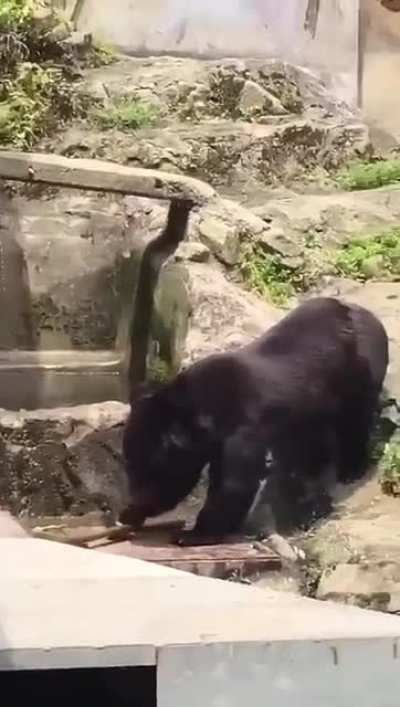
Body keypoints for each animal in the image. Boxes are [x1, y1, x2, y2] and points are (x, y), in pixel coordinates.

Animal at [119, 297, 389, 546]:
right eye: (129, 463)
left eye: (147, 466)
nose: (133, 500)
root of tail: (370, 316)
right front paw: (131, 514)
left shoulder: (244, 427)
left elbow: (233, 483)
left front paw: (190, 534)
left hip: (362, 372)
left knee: (354, 420)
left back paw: (351, 469)